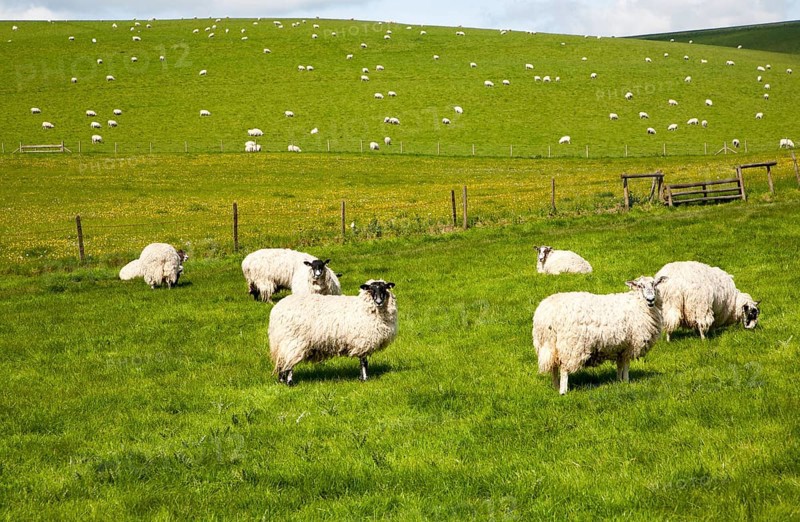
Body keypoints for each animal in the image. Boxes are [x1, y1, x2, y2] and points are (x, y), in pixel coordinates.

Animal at [268, 279, 397, 385]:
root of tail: (276, 310)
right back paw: (290, 382)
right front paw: (365, 379)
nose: (379, 301)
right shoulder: (362, 340)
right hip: (293, 340)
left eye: (384, 288)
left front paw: (361, 378)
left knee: (282, 361)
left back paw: (281, 380)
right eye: (371, 289)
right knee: (289, 363)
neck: (364, 307)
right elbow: (364, 362)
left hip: (282, 342)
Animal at [532, 276, 667, 394]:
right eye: (640, 285)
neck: (638, 304)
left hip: (548, 345)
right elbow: (626, 364)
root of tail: (546, 314)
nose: (651, 299)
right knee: (564, 368)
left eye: (655, 284)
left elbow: (620, 364)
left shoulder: (620, 346)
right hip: (570, 346)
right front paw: (626, 381)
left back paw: (555, 386)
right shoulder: (630, 344)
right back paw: (563, 391)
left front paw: (619, 381)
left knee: (554, 366)